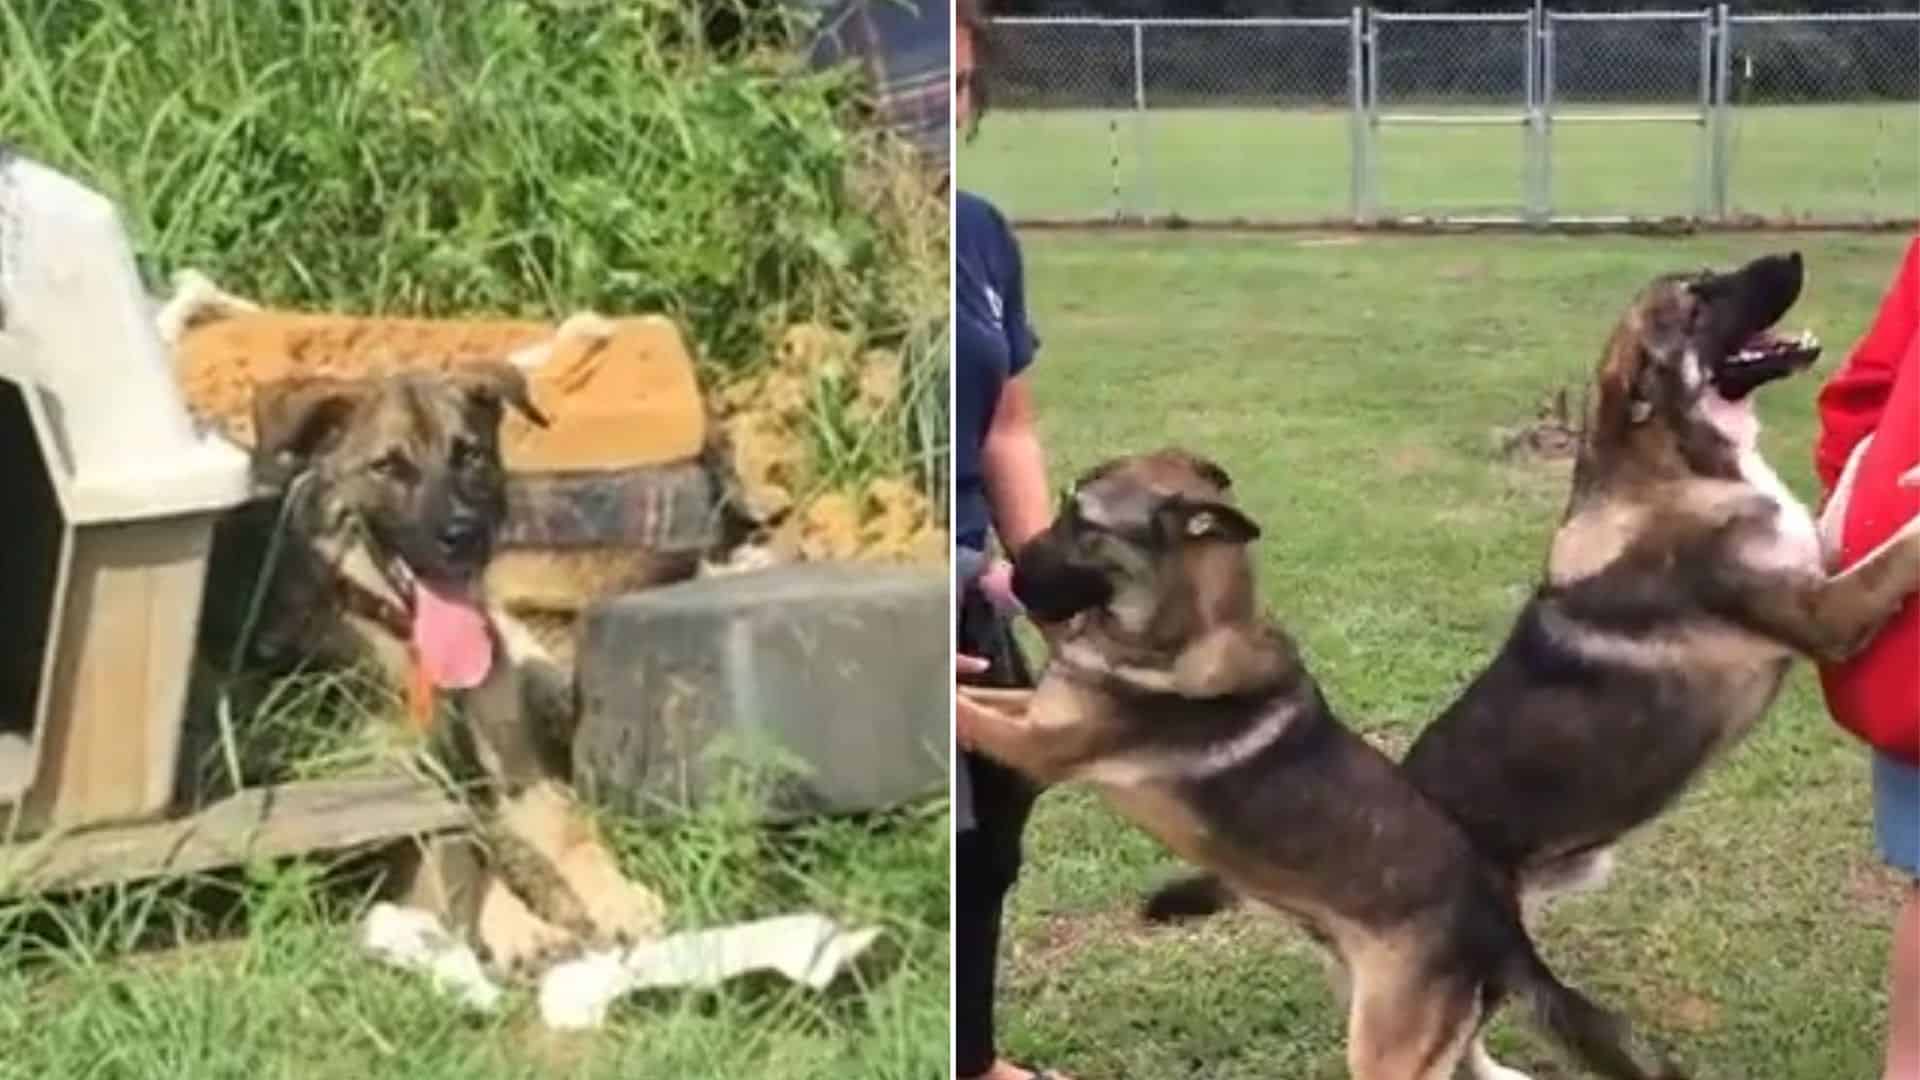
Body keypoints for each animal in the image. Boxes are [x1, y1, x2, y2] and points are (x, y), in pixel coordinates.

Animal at [960, 447, 1681, 1076]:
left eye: (1082, 522)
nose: (1003, 575)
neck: (1180, 631)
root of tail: (1501, 921)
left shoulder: (1044, 747)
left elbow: (966, 709)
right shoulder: (1035, 714)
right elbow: (978, 695)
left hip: (1385, 1044)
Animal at [1136, 249, 1920, 1068]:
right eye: (1698, 298)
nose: (1793, 257)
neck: (1677, 463)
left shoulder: (1822, 572)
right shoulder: (1829, 613)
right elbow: (1904, 544)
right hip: (1464, 966)